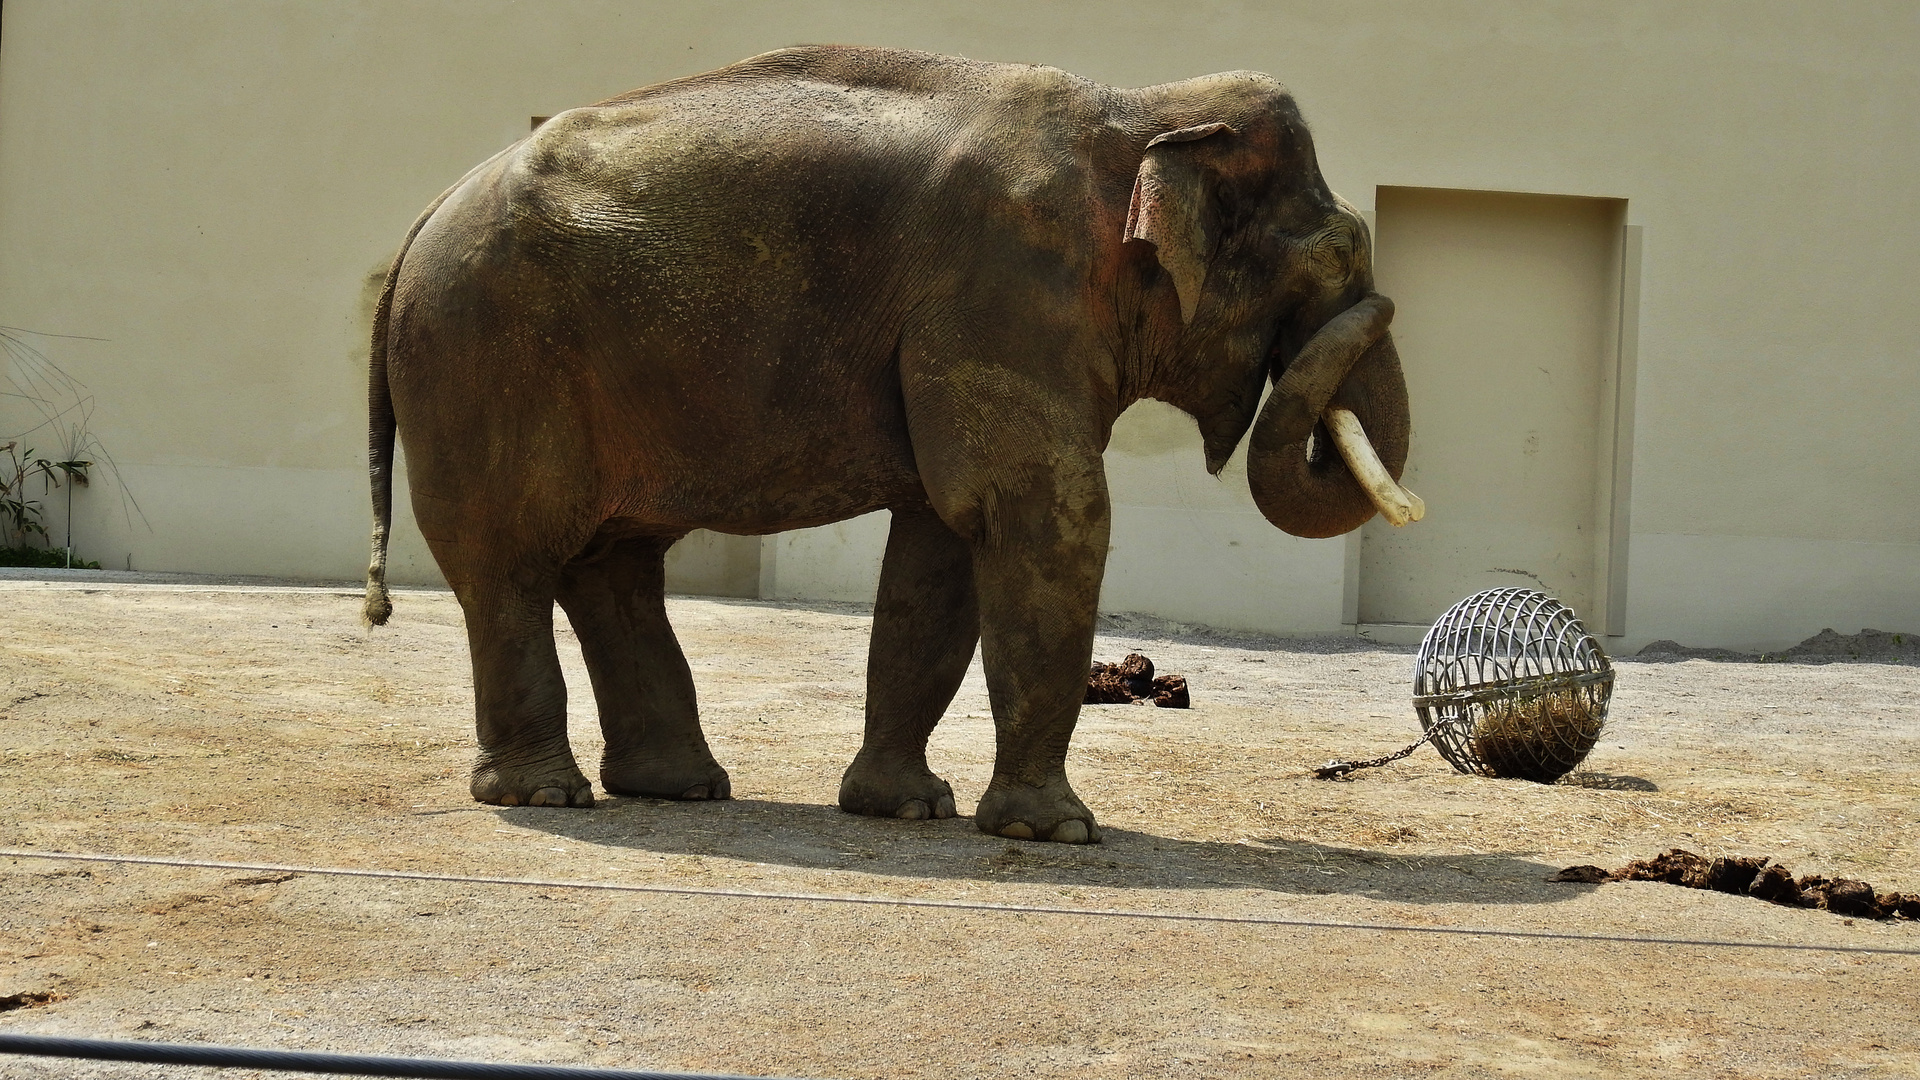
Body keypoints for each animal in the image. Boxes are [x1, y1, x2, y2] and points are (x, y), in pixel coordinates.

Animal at [362, 46, 1413, 841]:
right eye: (1335, 259)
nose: (1383, 305)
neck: (1142, 108)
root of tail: (420, 225)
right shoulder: (1001, 292)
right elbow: (1043, 511)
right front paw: (1055, 831)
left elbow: (942, 547)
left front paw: (906, 810)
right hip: (480, 360)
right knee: (509, 562)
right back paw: (549, 795)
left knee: (612, 561)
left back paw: (679, 786)